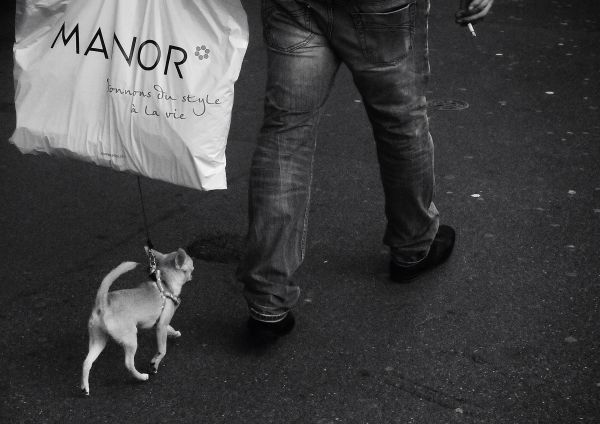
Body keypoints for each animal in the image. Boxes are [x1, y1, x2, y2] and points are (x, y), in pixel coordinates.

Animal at [81, 247, 193, 396]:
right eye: (191, 267)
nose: (192, 274)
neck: (165, 284)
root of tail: (103, 303)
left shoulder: (161, 324)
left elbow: (171, 328)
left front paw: (175, 334)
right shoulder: (161, 326)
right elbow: (162, 350)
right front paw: (155, 363)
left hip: (98, 340)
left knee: (87, 362)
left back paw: (85, 387)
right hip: (130, 340)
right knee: (128, 364)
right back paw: (141, 377)